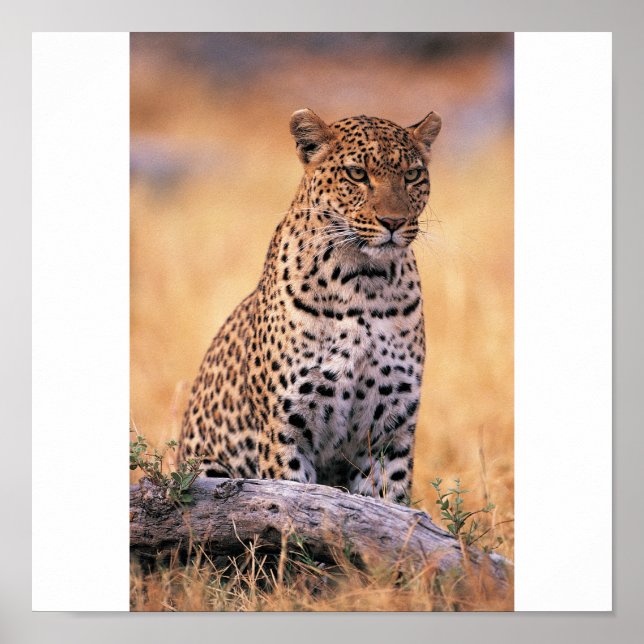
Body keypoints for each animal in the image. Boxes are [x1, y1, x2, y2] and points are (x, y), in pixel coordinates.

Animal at [178, 108, 442, 504]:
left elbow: (389, 502)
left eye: (411, 176)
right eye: (357, 174)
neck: (364, 281)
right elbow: (290, 500)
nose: (394, 222)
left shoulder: (390, 430)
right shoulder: (286, 427)